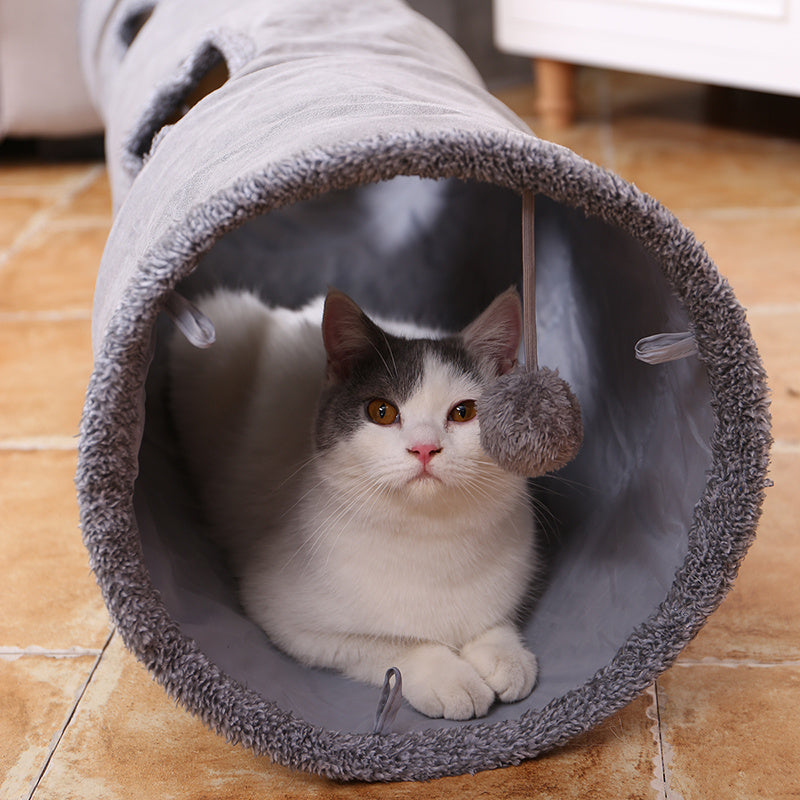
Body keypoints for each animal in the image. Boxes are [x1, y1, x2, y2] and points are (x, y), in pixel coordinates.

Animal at [171, 286, 540, 720]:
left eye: (465, 412)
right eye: (382, 411)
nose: (424, 447)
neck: (430, 541)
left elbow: (494, 616)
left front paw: (506, 655)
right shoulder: (286, 615)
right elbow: (392, 645)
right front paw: (449, 677)